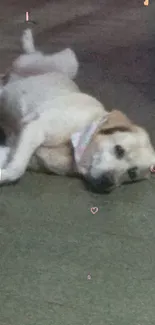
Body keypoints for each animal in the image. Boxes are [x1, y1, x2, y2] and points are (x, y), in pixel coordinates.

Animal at [0, 28, 155, 192]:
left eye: (132, 173)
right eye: (119, 150)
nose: (108, 183)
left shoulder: (15, 150)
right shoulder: (36, 128)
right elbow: (17, 170)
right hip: (62, 62)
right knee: (32, 53)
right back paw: (27, 38)